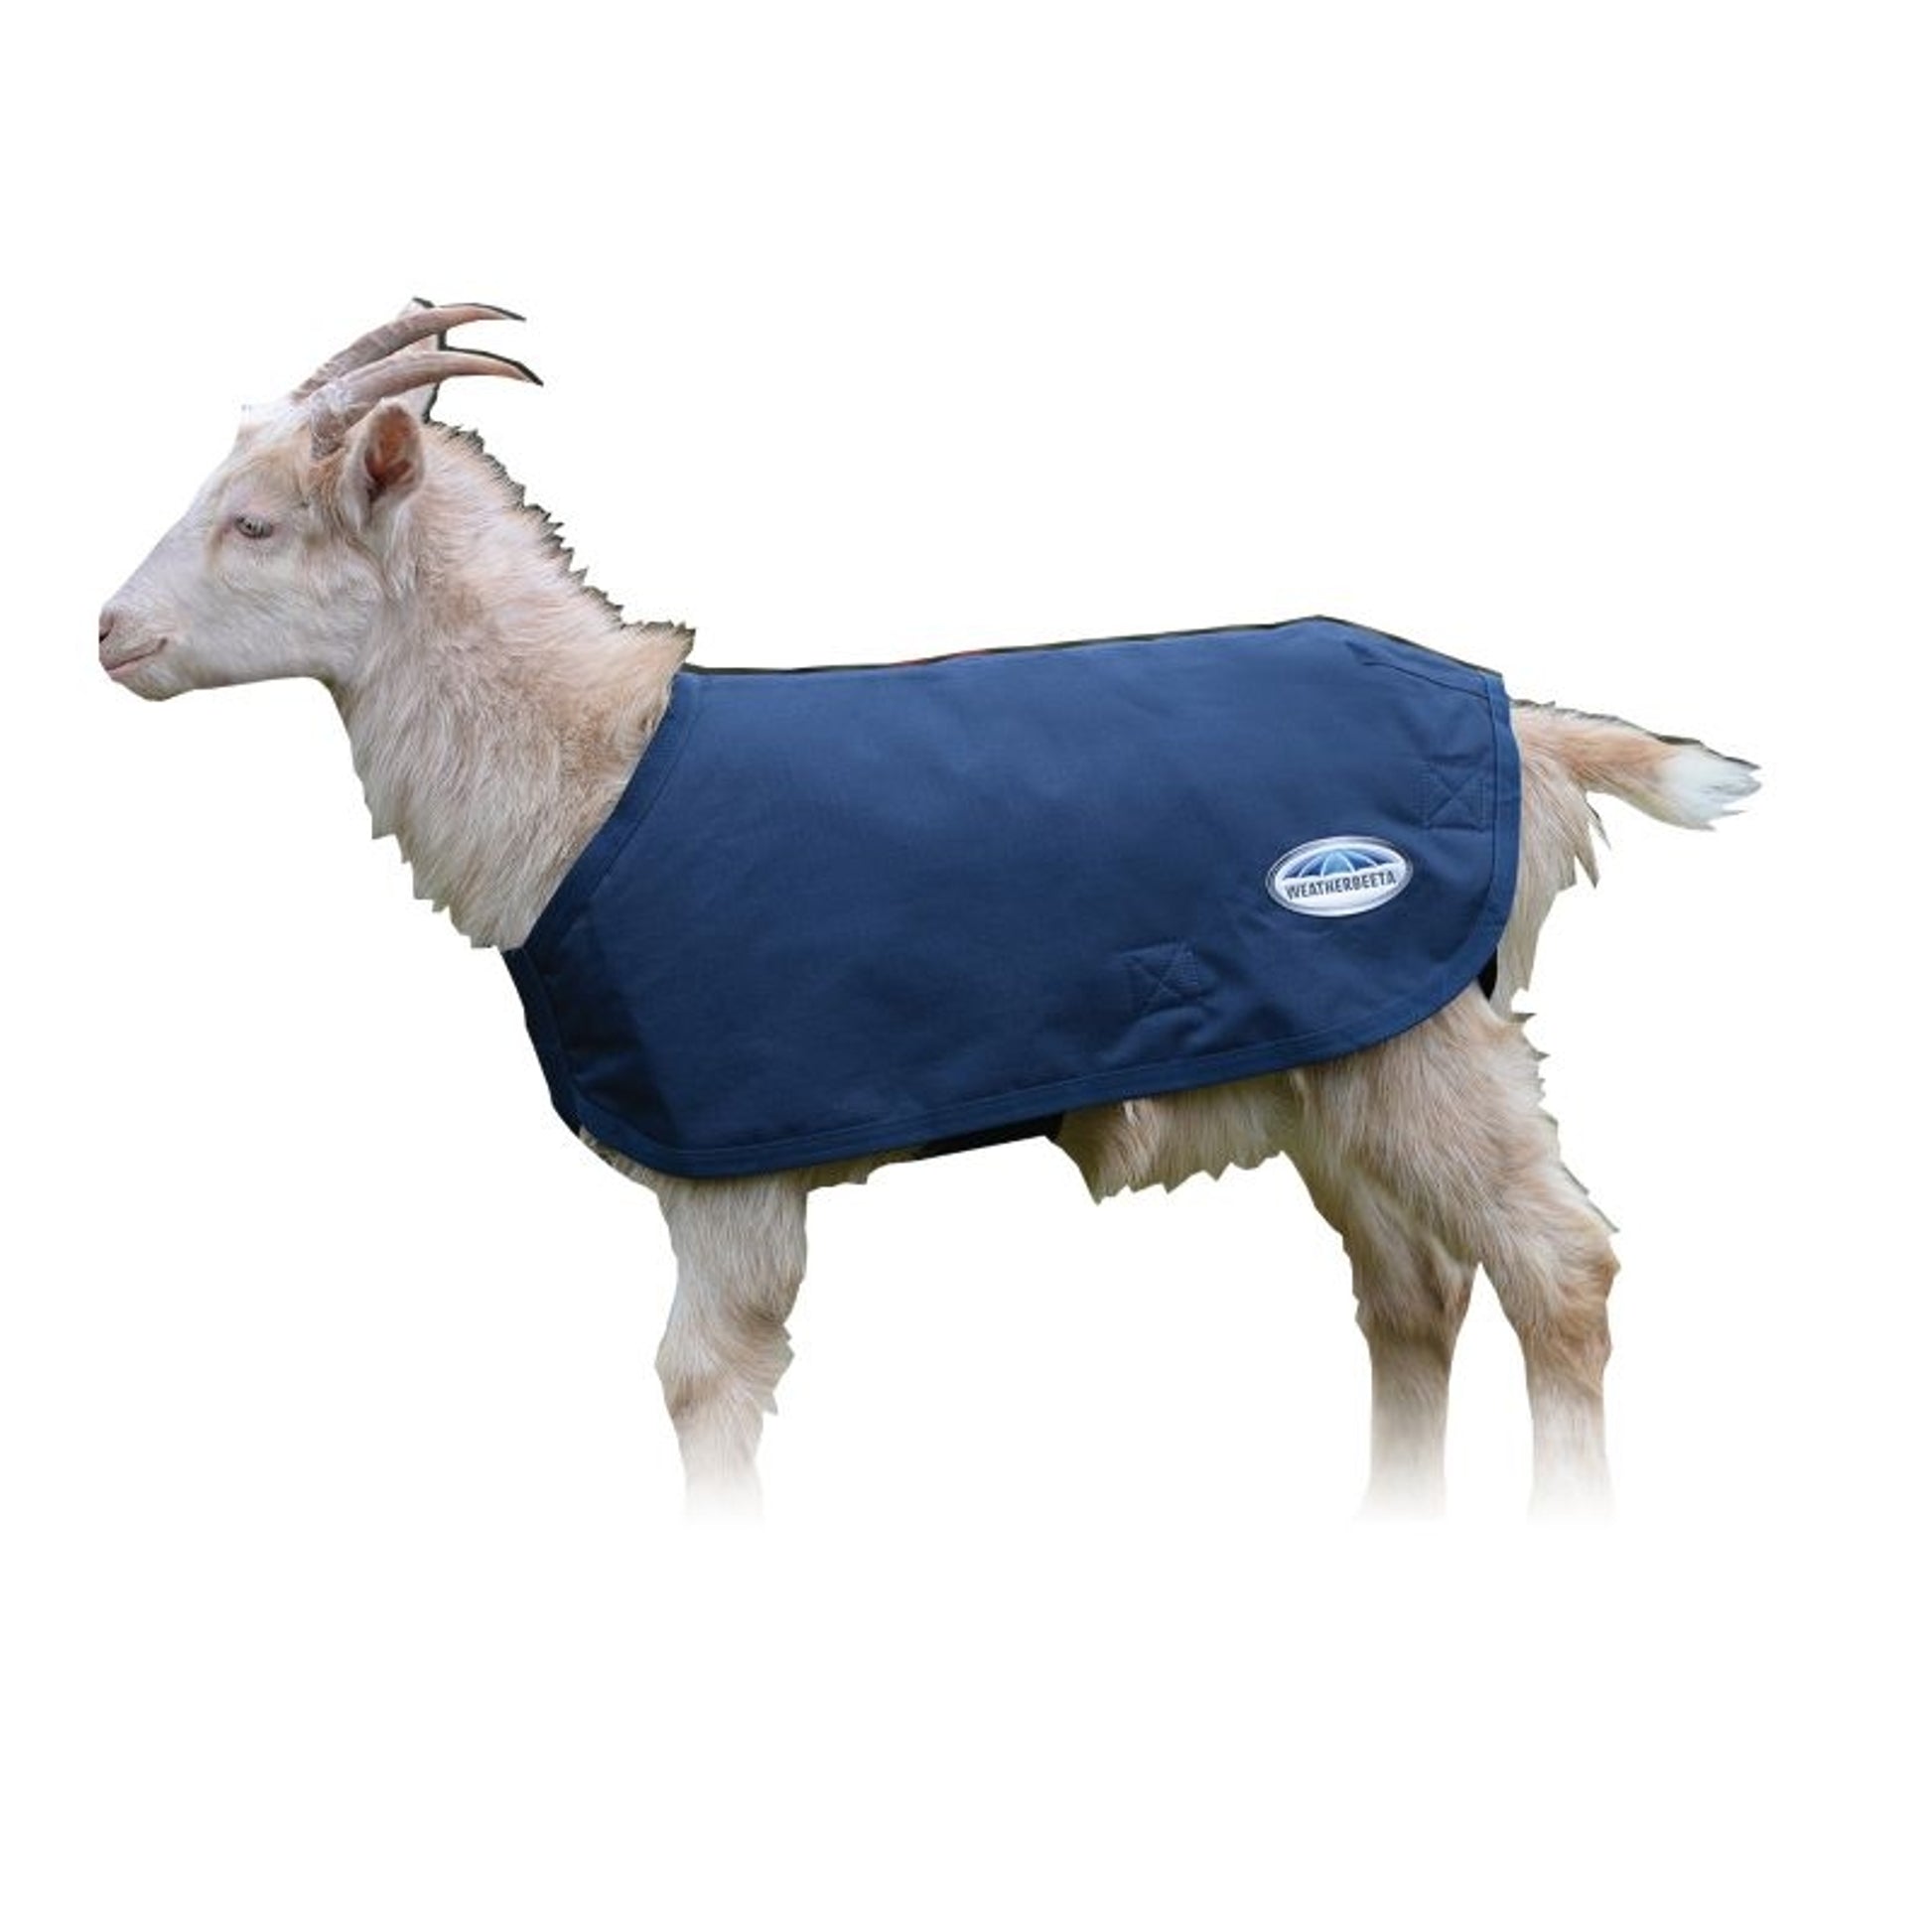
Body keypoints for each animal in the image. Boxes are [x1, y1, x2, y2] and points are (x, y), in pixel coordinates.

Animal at [98, 301, 1756, 1517]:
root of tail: (1525, 724)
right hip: (1335, 1051)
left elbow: (700, 1379)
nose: (111, 632)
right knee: (1409, 1289)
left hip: (1416, 1036)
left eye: (254, 523)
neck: (593, 771)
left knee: (1559, 1268)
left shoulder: (731, 1162)